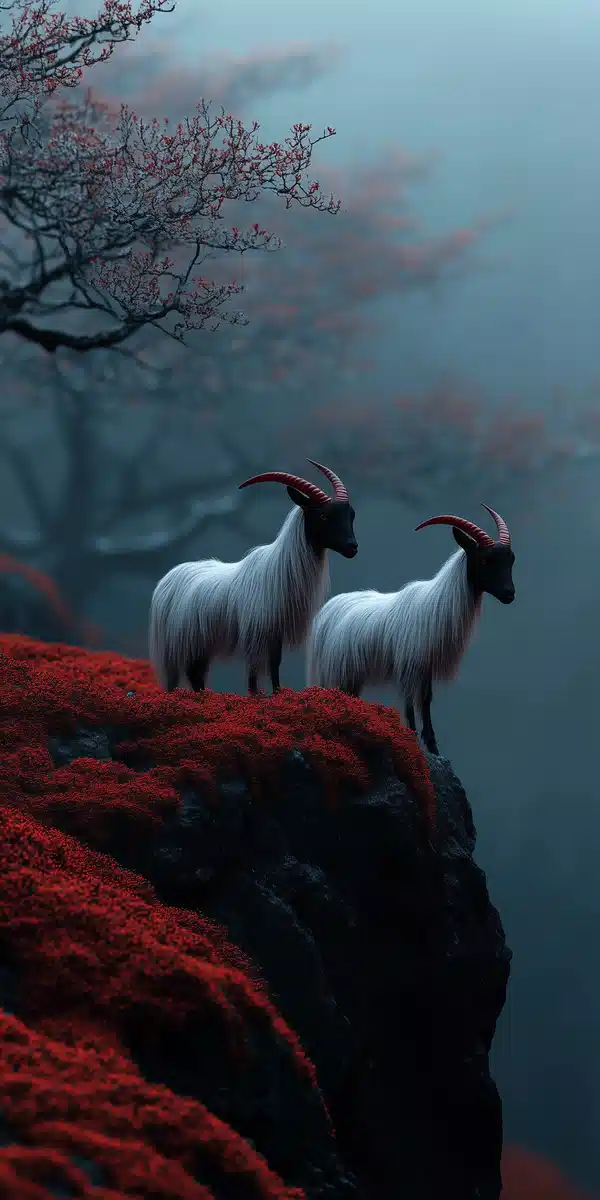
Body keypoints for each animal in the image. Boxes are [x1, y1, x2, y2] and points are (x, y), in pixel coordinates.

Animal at [149, 460, 358, 695]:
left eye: (351, 515)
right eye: (323, 515)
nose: (352, 547)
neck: (278, 568)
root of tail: (165, 582)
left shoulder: (275, 631)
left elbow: (275, 663)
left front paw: (277, 693)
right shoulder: (255, 632)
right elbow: (254, 669)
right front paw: (255, 695)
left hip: (198, 644)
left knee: (195, 674)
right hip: (180, 644)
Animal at [307, 505, 515, 755]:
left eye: (511, 560)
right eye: (485, 560)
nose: (509, 594)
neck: (437, 603)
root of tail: (325, 611)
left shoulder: (425, 666)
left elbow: (425, 700)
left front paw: (432, 746)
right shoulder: (407, 664)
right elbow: (408, 703)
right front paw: (412, 739)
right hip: (335, 668)